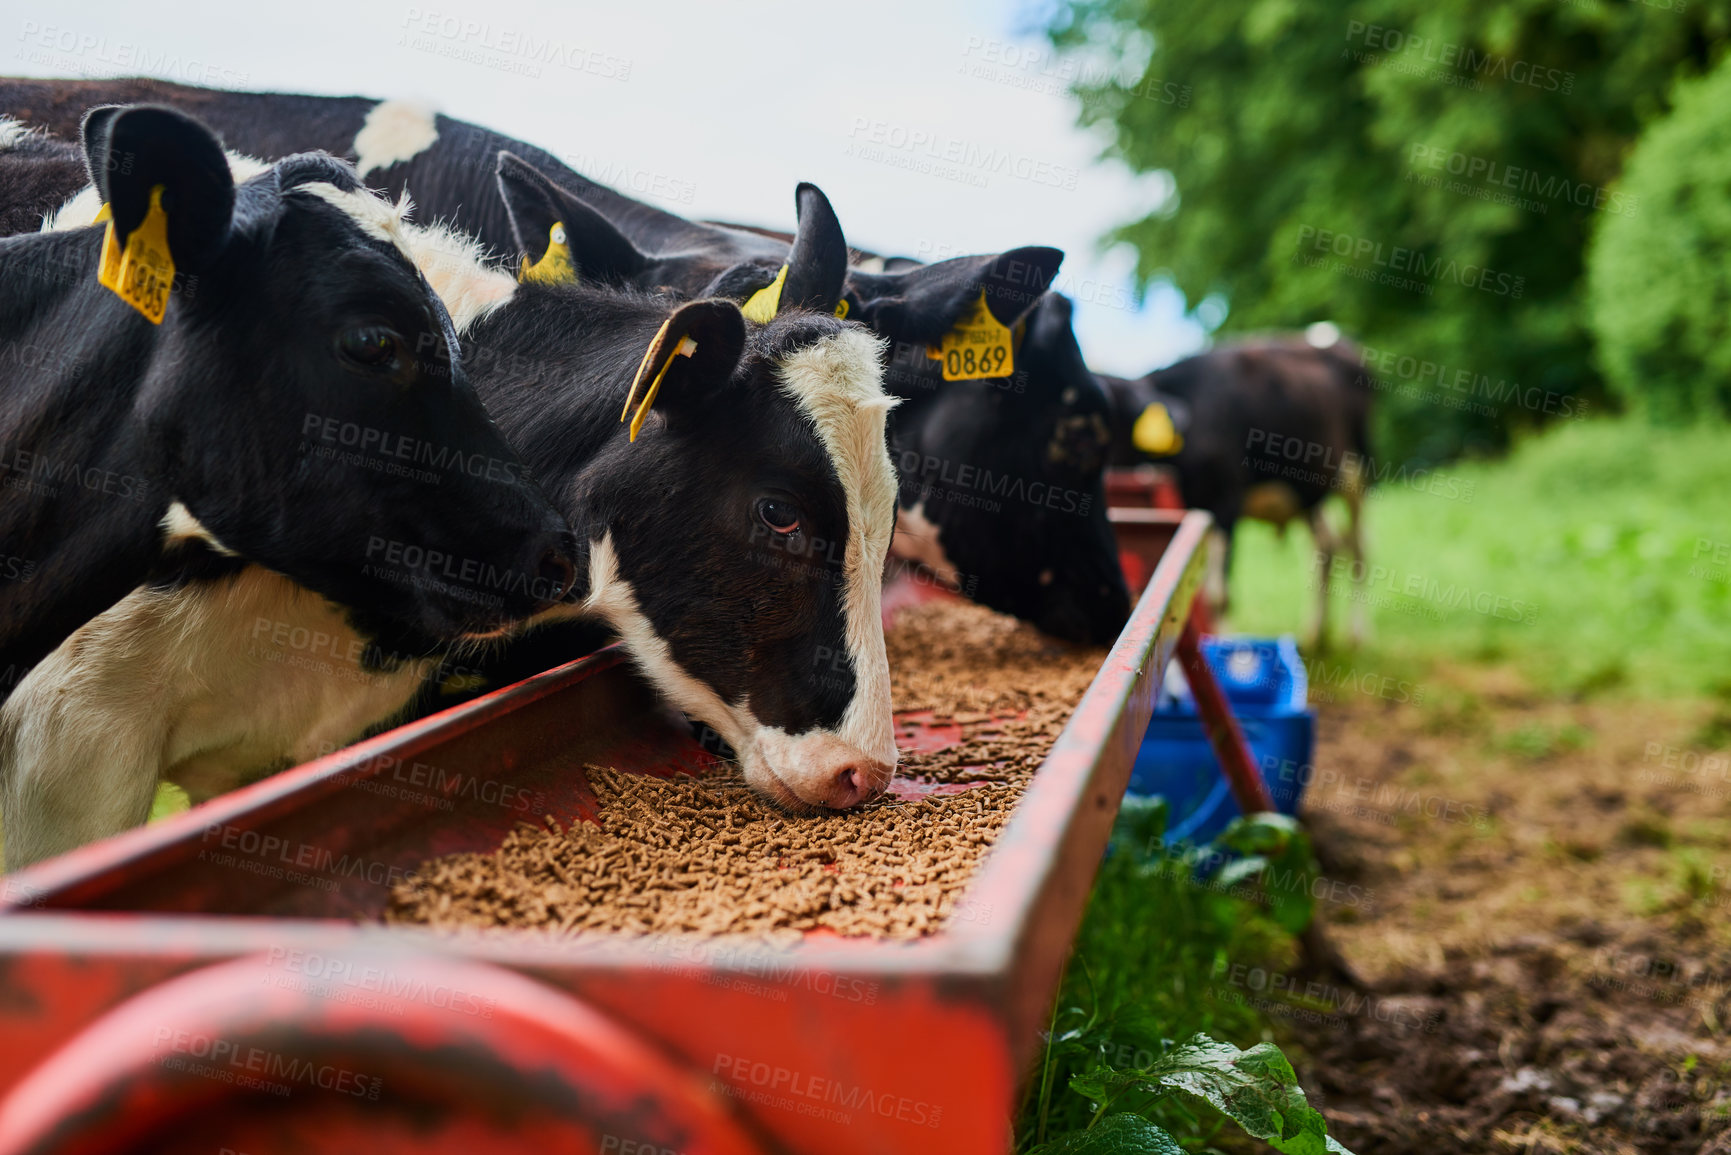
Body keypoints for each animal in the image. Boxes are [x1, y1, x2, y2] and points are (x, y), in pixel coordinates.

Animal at [1100, 329, 1370, 647]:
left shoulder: (1225, 502)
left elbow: (1219, 594)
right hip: (1309, 490)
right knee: (1327, 546)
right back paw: (1316, 633)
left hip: (1357, 473)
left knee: (1360, 547)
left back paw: (1357, 633)